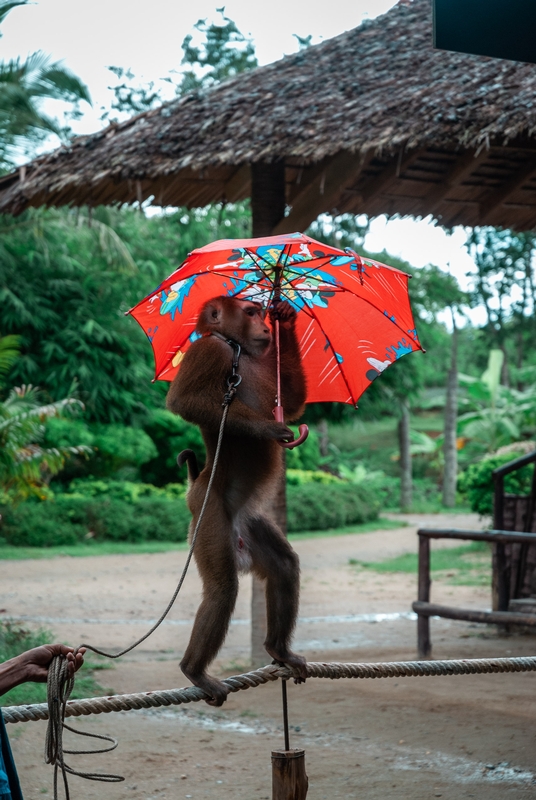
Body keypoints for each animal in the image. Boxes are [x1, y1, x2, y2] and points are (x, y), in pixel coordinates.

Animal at [166, 296, 310, 708]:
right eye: (249, 312)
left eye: (260, 312)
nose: (264, 325)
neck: (240, 351)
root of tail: (196, 483)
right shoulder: (209, 351)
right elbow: (183, 402)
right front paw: (271, 429)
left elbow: (290, 402)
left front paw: (286, 320)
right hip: (208, 513)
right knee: (222, 588)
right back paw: (194, 671)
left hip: (248, 521)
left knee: (283, 566)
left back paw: (278, 649)